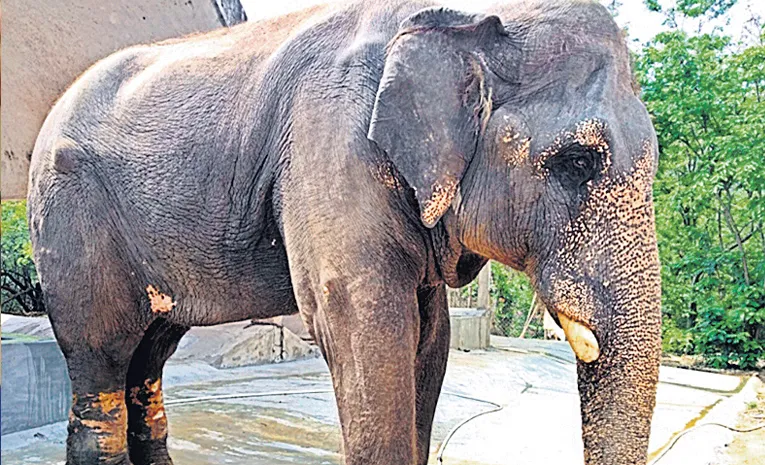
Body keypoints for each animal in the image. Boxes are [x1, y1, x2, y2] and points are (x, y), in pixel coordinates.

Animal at [27, 1, 662, 464]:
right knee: (101, 355)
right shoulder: (330, 147)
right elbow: (366, 326)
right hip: (70, 217)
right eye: (577, 162)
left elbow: (431, 338)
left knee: (148, 361)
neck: (470, 20)